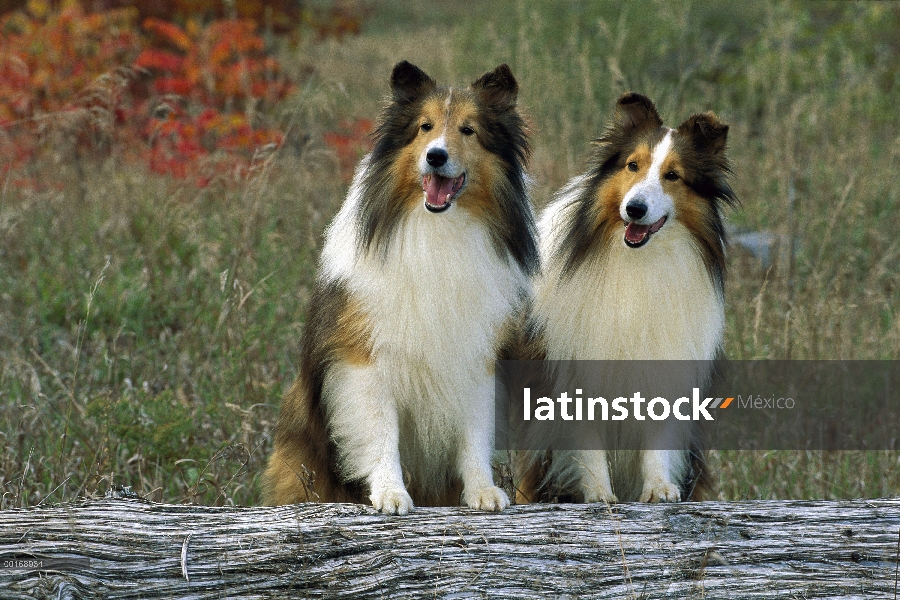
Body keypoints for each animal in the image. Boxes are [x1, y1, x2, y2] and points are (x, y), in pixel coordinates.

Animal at [264, 61, 536, 516]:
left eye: (468, 130)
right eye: (425, 127)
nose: (436, 155)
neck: (438, 230)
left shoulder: (477, 358)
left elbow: (474, 433)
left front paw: (483, 491)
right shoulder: (365, 362)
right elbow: (381, 434)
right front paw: (391, 493)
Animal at [516, 94, 736, 504]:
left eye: (673, 176)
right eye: (633, 165)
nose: (635, 209)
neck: (637, 263)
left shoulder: (664, 365)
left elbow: (657, 441)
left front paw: (659, 488)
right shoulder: (575, 371)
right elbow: (588, 446)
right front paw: (599, 494)